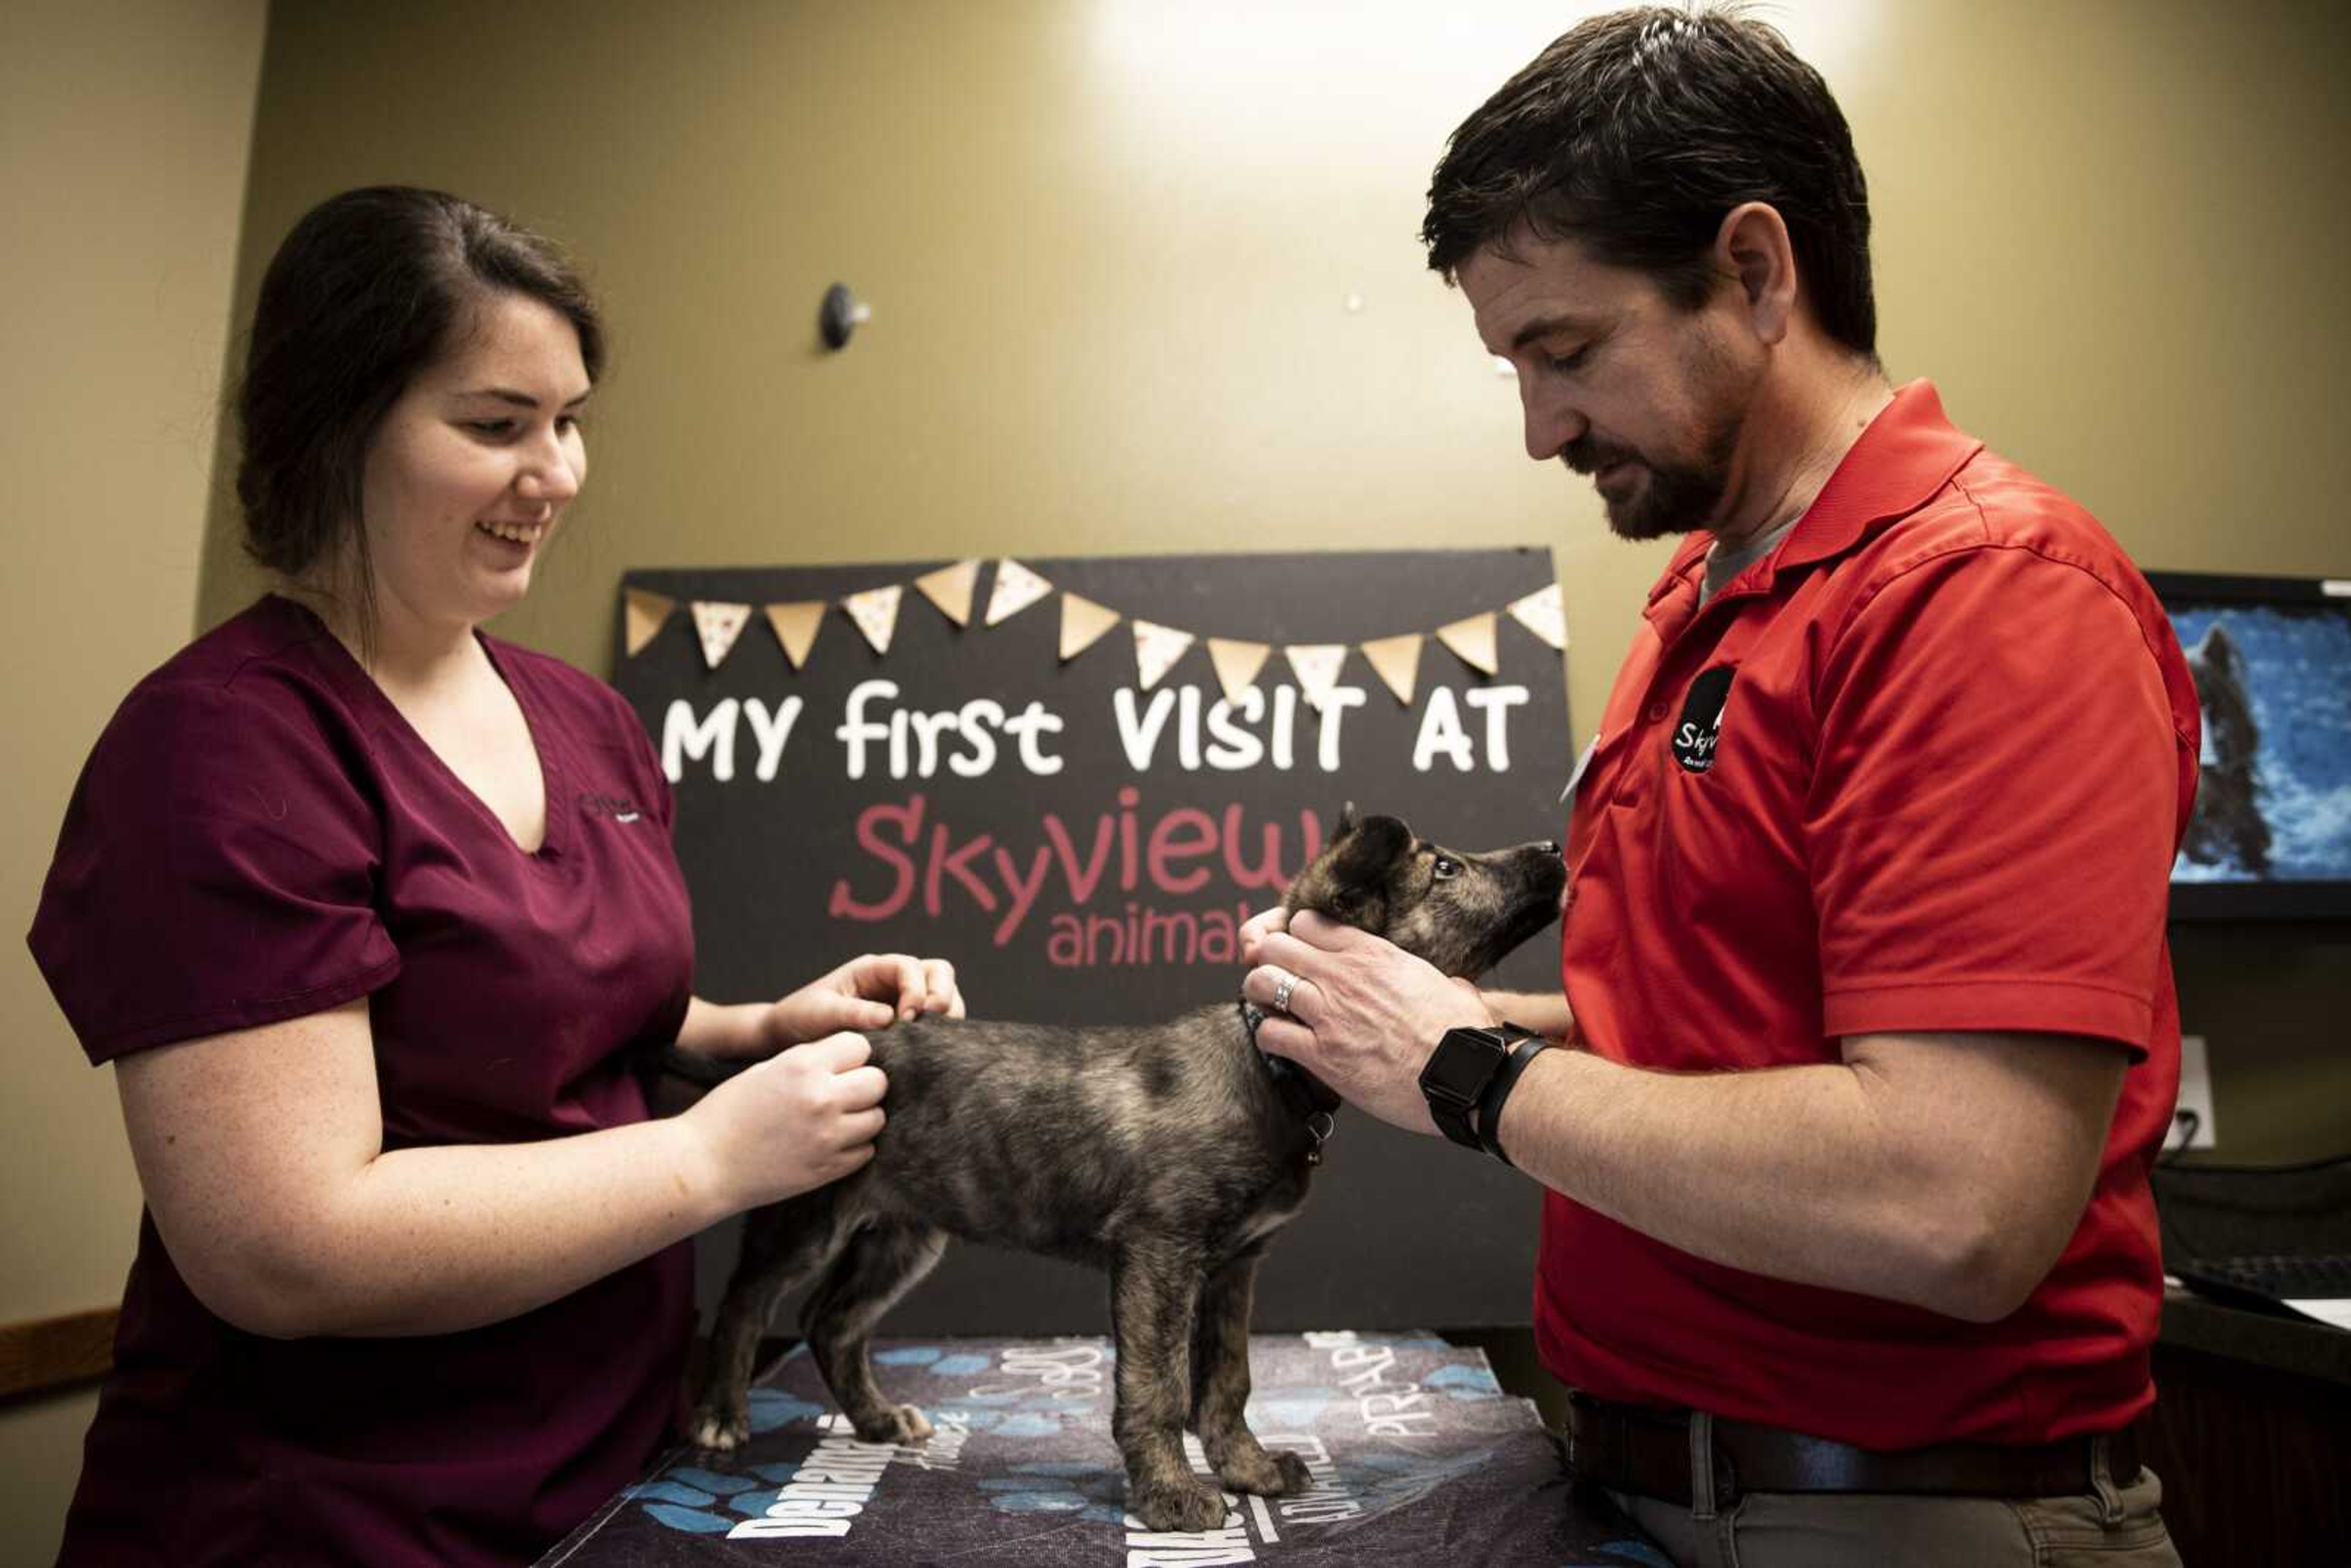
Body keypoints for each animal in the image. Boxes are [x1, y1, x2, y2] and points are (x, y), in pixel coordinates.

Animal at [681, 808, 1561, 1532]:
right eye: (1443, 868)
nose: (1555, 846)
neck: (1268, 1067)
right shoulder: (1159, 1252)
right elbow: (1159, 1386)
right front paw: (1170, 1495)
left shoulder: (1233, 1265)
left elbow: (1226, 1379)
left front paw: (1247, 1469)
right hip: (807, 1207)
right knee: (746, 1301)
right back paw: (720, 1415)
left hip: (906, 1233)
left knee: (832, 1322)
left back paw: (875, 1420)